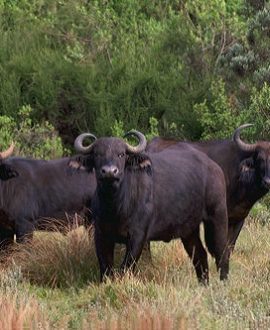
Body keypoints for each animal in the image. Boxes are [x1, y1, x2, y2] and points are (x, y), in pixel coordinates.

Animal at [74, 130, 230, 282]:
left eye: (121, 154)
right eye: (97, 154)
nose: (109, 172)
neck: (115, 207)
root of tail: (214, 167)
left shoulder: (138, 237)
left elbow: (126, 267)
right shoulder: (100, 235)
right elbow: (106, 268)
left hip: (218, 216)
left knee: (222, 251)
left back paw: (223, 281)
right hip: (189, 229)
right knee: (199, 254)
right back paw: (204, 283)